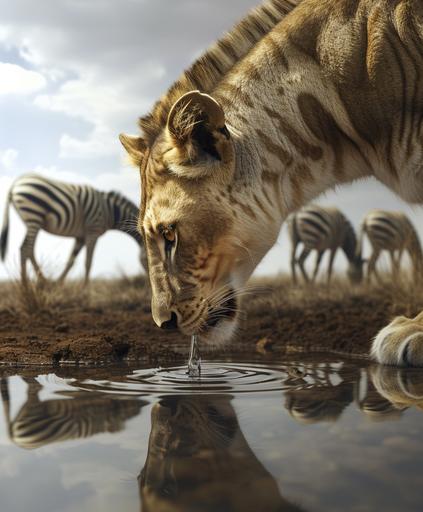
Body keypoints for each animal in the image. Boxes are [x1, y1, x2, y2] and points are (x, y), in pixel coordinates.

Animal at [0, 174, 147, 282]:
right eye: (148, 259)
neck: (110, 211)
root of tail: (15, 184)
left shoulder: (80, 237)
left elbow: (70, 261)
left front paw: (59, 284)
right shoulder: (93, 231)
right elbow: (88, 262)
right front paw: (85, 291)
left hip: (33, 221)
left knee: (28, 250)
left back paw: (42, 282)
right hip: (34, 216)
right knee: (25, 249)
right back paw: (27, 285)